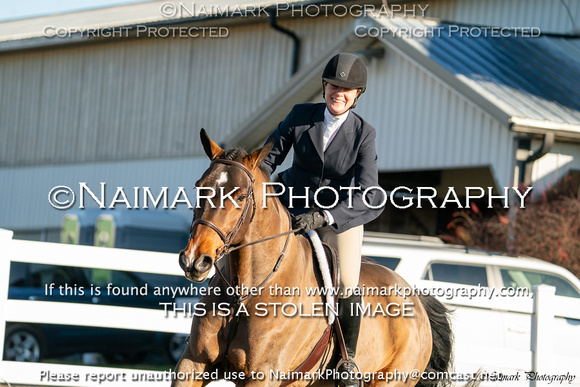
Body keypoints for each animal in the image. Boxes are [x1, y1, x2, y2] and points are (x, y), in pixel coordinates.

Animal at [172, 131, 454, 387]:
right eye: (199, 187)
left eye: (241, 197)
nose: (195, 260)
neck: (246, 291)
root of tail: (417, 300)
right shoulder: (192, 363)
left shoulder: (263, 374)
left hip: (392, 379)